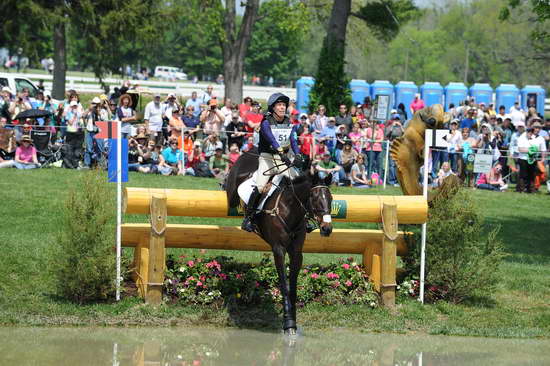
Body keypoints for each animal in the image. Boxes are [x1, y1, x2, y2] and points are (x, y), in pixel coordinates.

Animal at [225, 150, 336, 334]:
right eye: (314, 197)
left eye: (331, 198)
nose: (327, 229)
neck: (289, 209)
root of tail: (249, 152)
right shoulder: (278, 250)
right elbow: (284, 284)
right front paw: (288, 322)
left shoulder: (296, 252)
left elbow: (293, 286)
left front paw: (293, 319)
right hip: (233, 192)